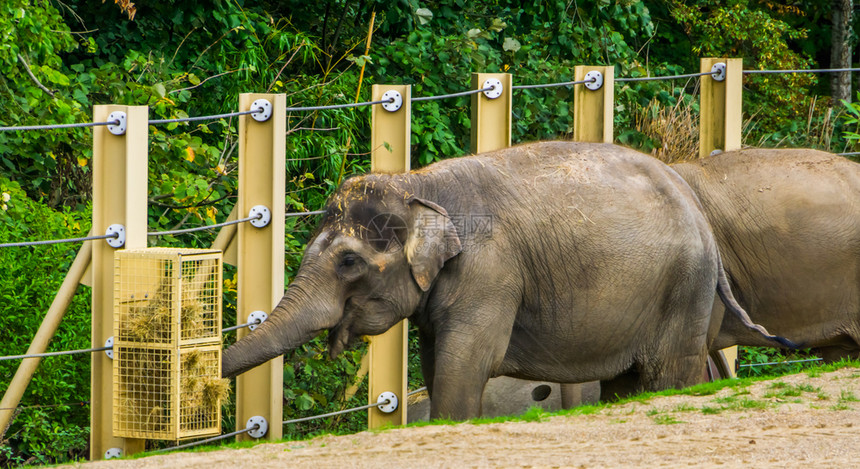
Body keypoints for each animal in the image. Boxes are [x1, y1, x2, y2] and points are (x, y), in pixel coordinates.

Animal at [223, 141, 792, 418]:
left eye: (348, 262)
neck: (419, 185)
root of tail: (697, 209)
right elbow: (438, 366)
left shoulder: (489, 272)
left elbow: (463, 369)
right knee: (625, 382)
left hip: (683, 287)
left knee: (669, 375)